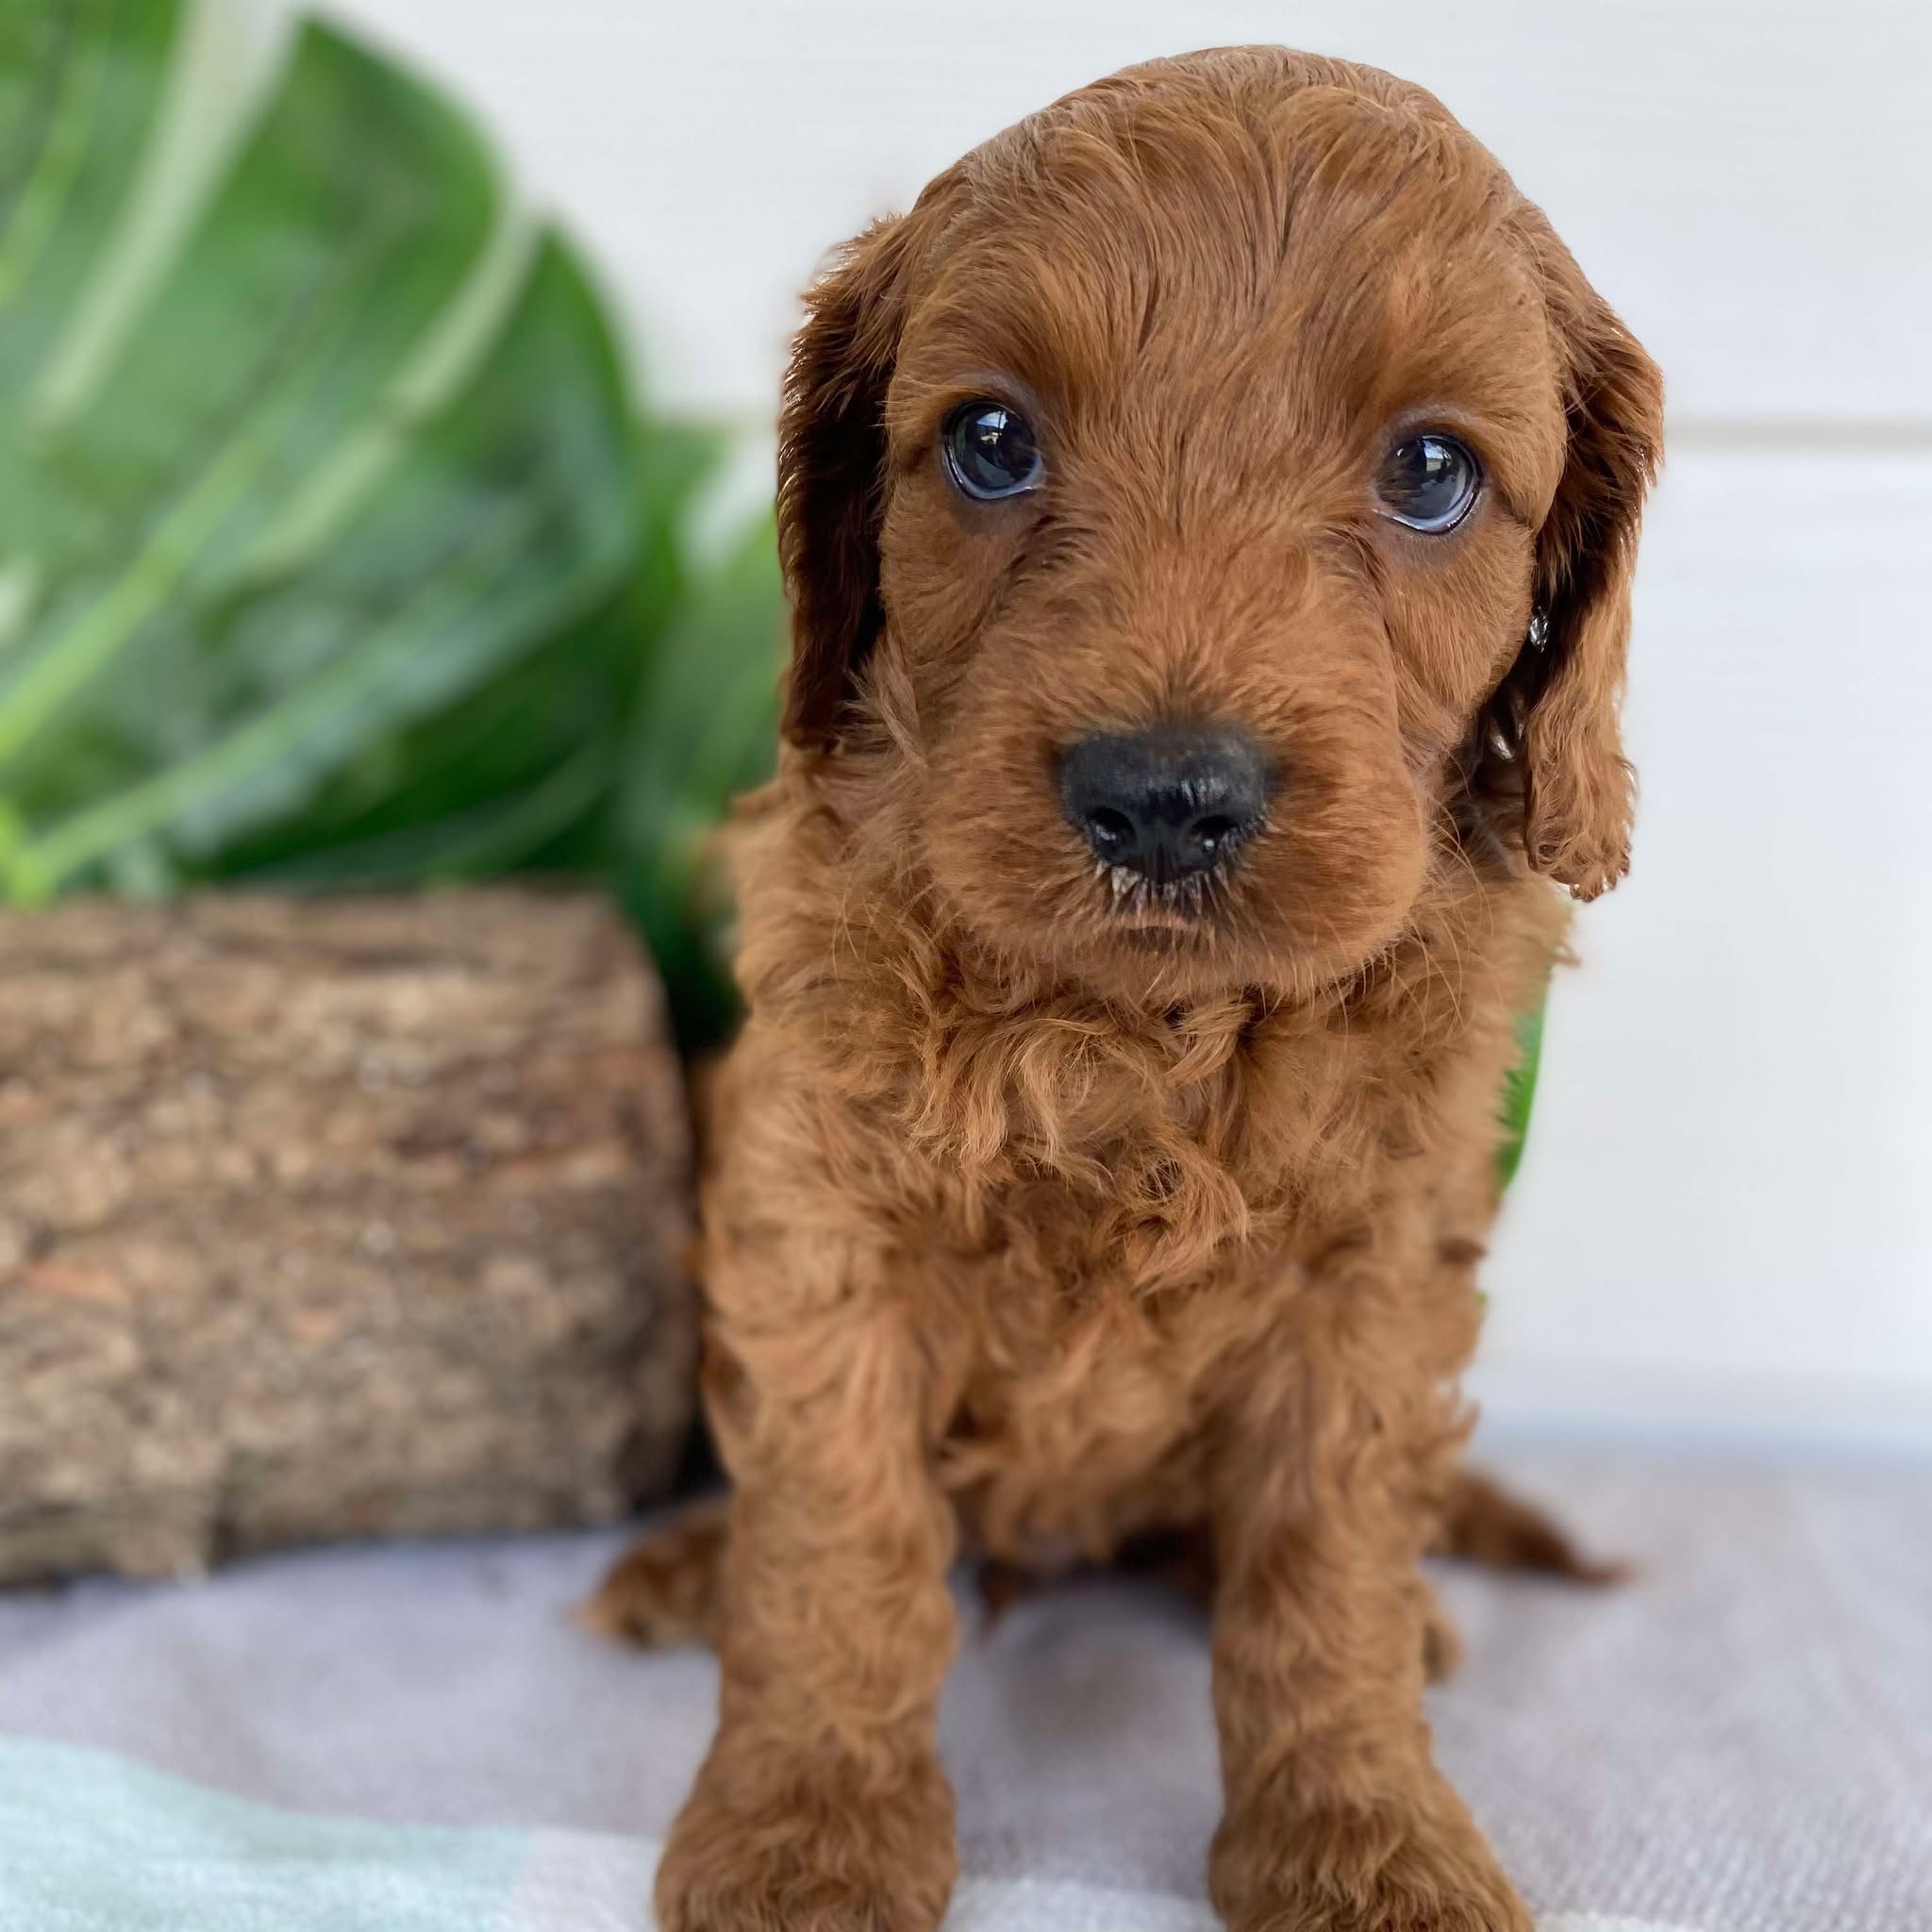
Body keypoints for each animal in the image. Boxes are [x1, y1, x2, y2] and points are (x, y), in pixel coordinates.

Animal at [598, 45, 1661, 1932]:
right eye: (991, 440)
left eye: (1432, 472)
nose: (1164, 795)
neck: (1141, 1035)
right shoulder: (816, 1217)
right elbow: (836, 1539)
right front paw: (807, 1831)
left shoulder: (1375, 1269)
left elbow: (1323, 1569)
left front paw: (1368, 1843)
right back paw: (685, 1566)